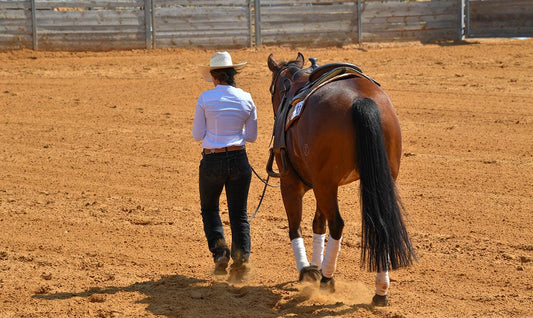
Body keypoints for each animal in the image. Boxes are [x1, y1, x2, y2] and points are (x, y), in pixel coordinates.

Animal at [266, 53, 416, 306]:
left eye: (271, 89)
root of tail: (361, 99)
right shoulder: (320, 184)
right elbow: (318, 222)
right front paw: (315, 266)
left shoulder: (291, 183)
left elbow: (295, 226)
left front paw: (307, 270)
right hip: (373, 180)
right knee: (381, 225)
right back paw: (380, 291)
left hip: (324, 185)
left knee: (337, 224)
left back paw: (327, 279)